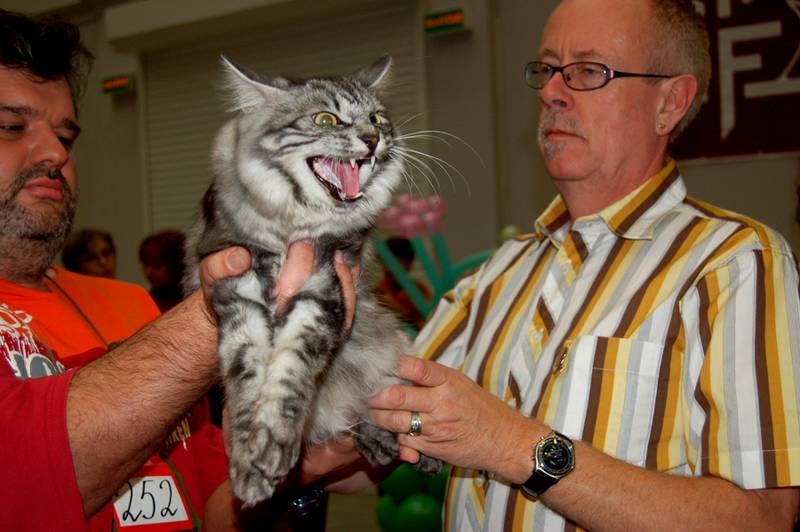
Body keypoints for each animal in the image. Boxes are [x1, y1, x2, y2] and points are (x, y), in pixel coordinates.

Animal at [184, 55, 441, 506]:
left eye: (377, 118)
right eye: (326, 119)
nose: (373, 138)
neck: (293, 228)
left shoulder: (322, 292)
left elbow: (289, 377)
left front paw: (272, 448)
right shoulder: (238, 295)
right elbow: (248, 384)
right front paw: (249, 463)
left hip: (390, 348)